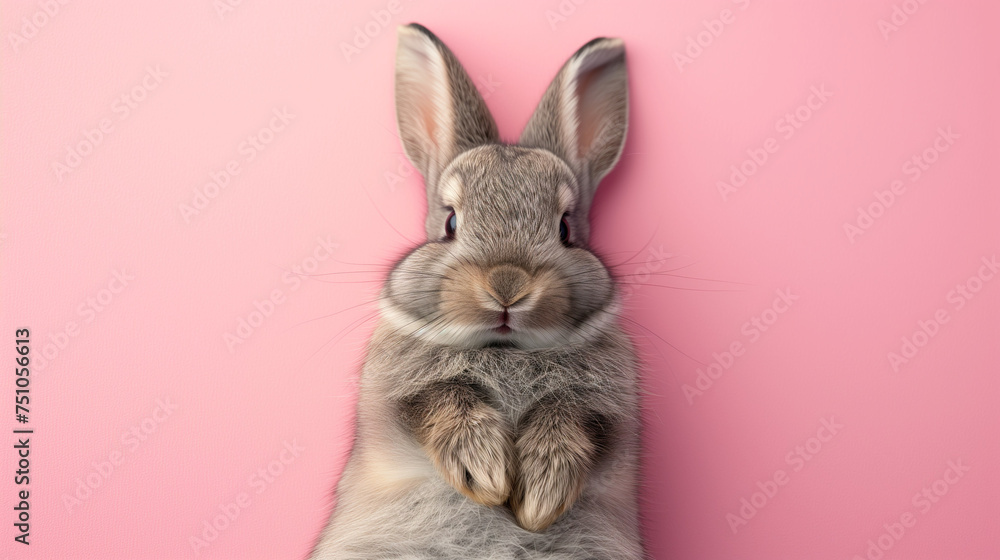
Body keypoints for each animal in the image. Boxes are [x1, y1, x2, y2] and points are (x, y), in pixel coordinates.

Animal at [309, 23, 642, 560]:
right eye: (450, 222)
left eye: (566, 229)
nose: (507, 285)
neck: (505, 348)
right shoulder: (391, 399)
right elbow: (439, 397)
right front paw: (485, 473)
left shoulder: (611, 414)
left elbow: (573, 416)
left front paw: (541, 493)